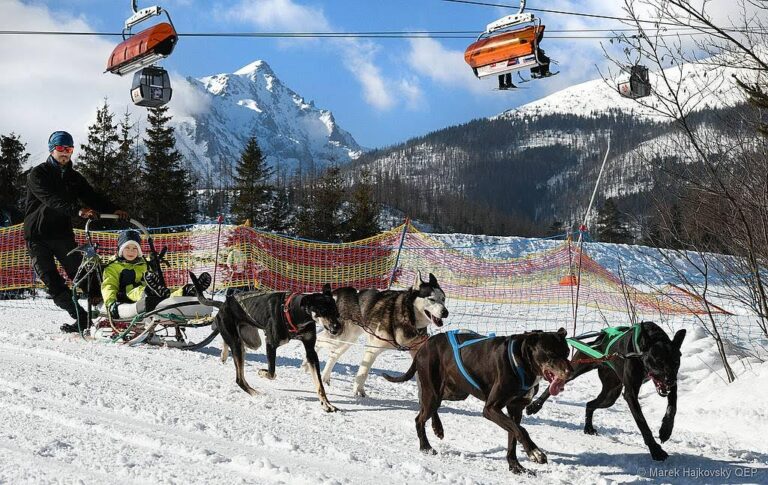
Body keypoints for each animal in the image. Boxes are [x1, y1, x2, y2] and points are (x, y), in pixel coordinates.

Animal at [188, 272, 340, 412]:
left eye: (336, 311)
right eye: (323, 311)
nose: (338, 327)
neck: (292, 311)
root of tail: (224, 304)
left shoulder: (310, 351)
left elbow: (319, 384)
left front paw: (326, 404)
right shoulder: (270, 344)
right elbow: (272, 373)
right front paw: (262, 372)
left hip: (252, 341)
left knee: (229, 342)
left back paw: (224, 354)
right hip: (238, 343)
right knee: (239, 378)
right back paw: (255, 393)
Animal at [316, 272, 450, 398]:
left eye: (443, 299)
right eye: (432, 299)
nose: (445, 312)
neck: (407, 316)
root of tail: (338, 292)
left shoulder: (417, 353)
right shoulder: (372, 350)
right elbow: (363, 373)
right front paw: (359, 391)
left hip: (347, 340)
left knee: (334, 354)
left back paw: (325, 377)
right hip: (339, 337)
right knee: (318, 341)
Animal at [382, 328, 568, 474]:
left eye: (566, 352)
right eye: (550, 353)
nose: (570, 371)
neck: (520, 360)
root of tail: (424, 346)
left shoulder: (515, 410)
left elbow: (513, 435)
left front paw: (515, 467)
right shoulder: (491, 409)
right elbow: (521, 431)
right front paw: (535, 452)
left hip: (454, 392)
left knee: (426, 405)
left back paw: (437, 428)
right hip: (434, 391)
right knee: (419, 418)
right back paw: (425, 447)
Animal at [524, 322, 688, 462]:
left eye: (676, 362)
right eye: (658, 361)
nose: (669, 380)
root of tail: (599, 340)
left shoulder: (672, 386)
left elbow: (672, 407)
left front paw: (666, 430)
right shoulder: (630, 394)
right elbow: (643, 424)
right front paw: (655, 450)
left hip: (611, 395)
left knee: (590, 404)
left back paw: (588, 427)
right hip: (574, 371)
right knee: (552, 388)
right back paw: (535, 406)